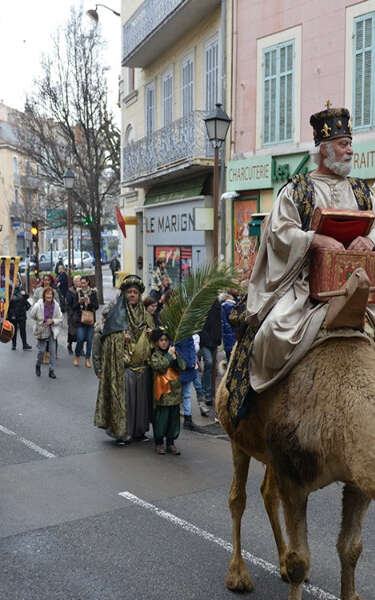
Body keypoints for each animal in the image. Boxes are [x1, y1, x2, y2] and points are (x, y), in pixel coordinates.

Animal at [219, 268, 375, 600]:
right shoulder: (294, 476)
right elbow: (299, 562)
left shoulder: (356, 480)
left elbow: (351, 549)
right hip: (238, 438)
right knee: (237, 497)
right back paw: (238, 575)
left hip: (270, 452)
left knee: (268, 493)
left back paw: (275, 563)